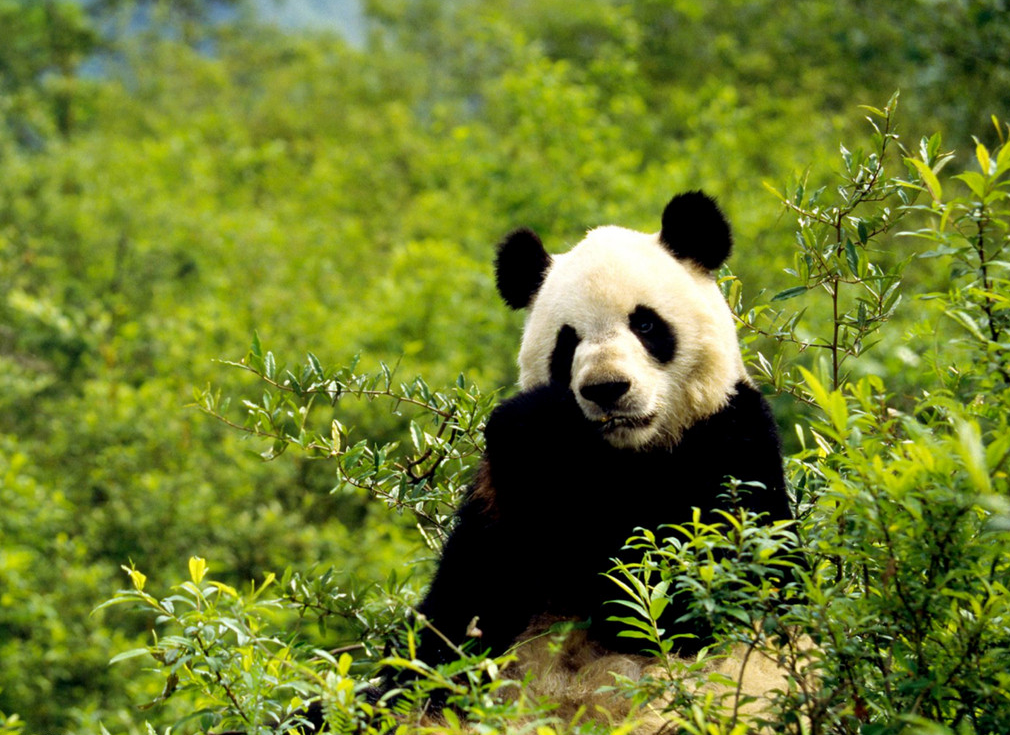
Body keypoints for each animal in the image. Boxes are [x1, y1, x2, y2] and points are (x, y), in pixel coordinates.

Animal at [388, 191, 797, 726]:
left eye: (644, 323)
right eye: (569, 341)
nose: (606, 389)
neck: (623, 455)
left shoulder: (732, 442)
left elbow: (692, 594)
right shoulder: (503, 509)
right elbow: (459, 615)